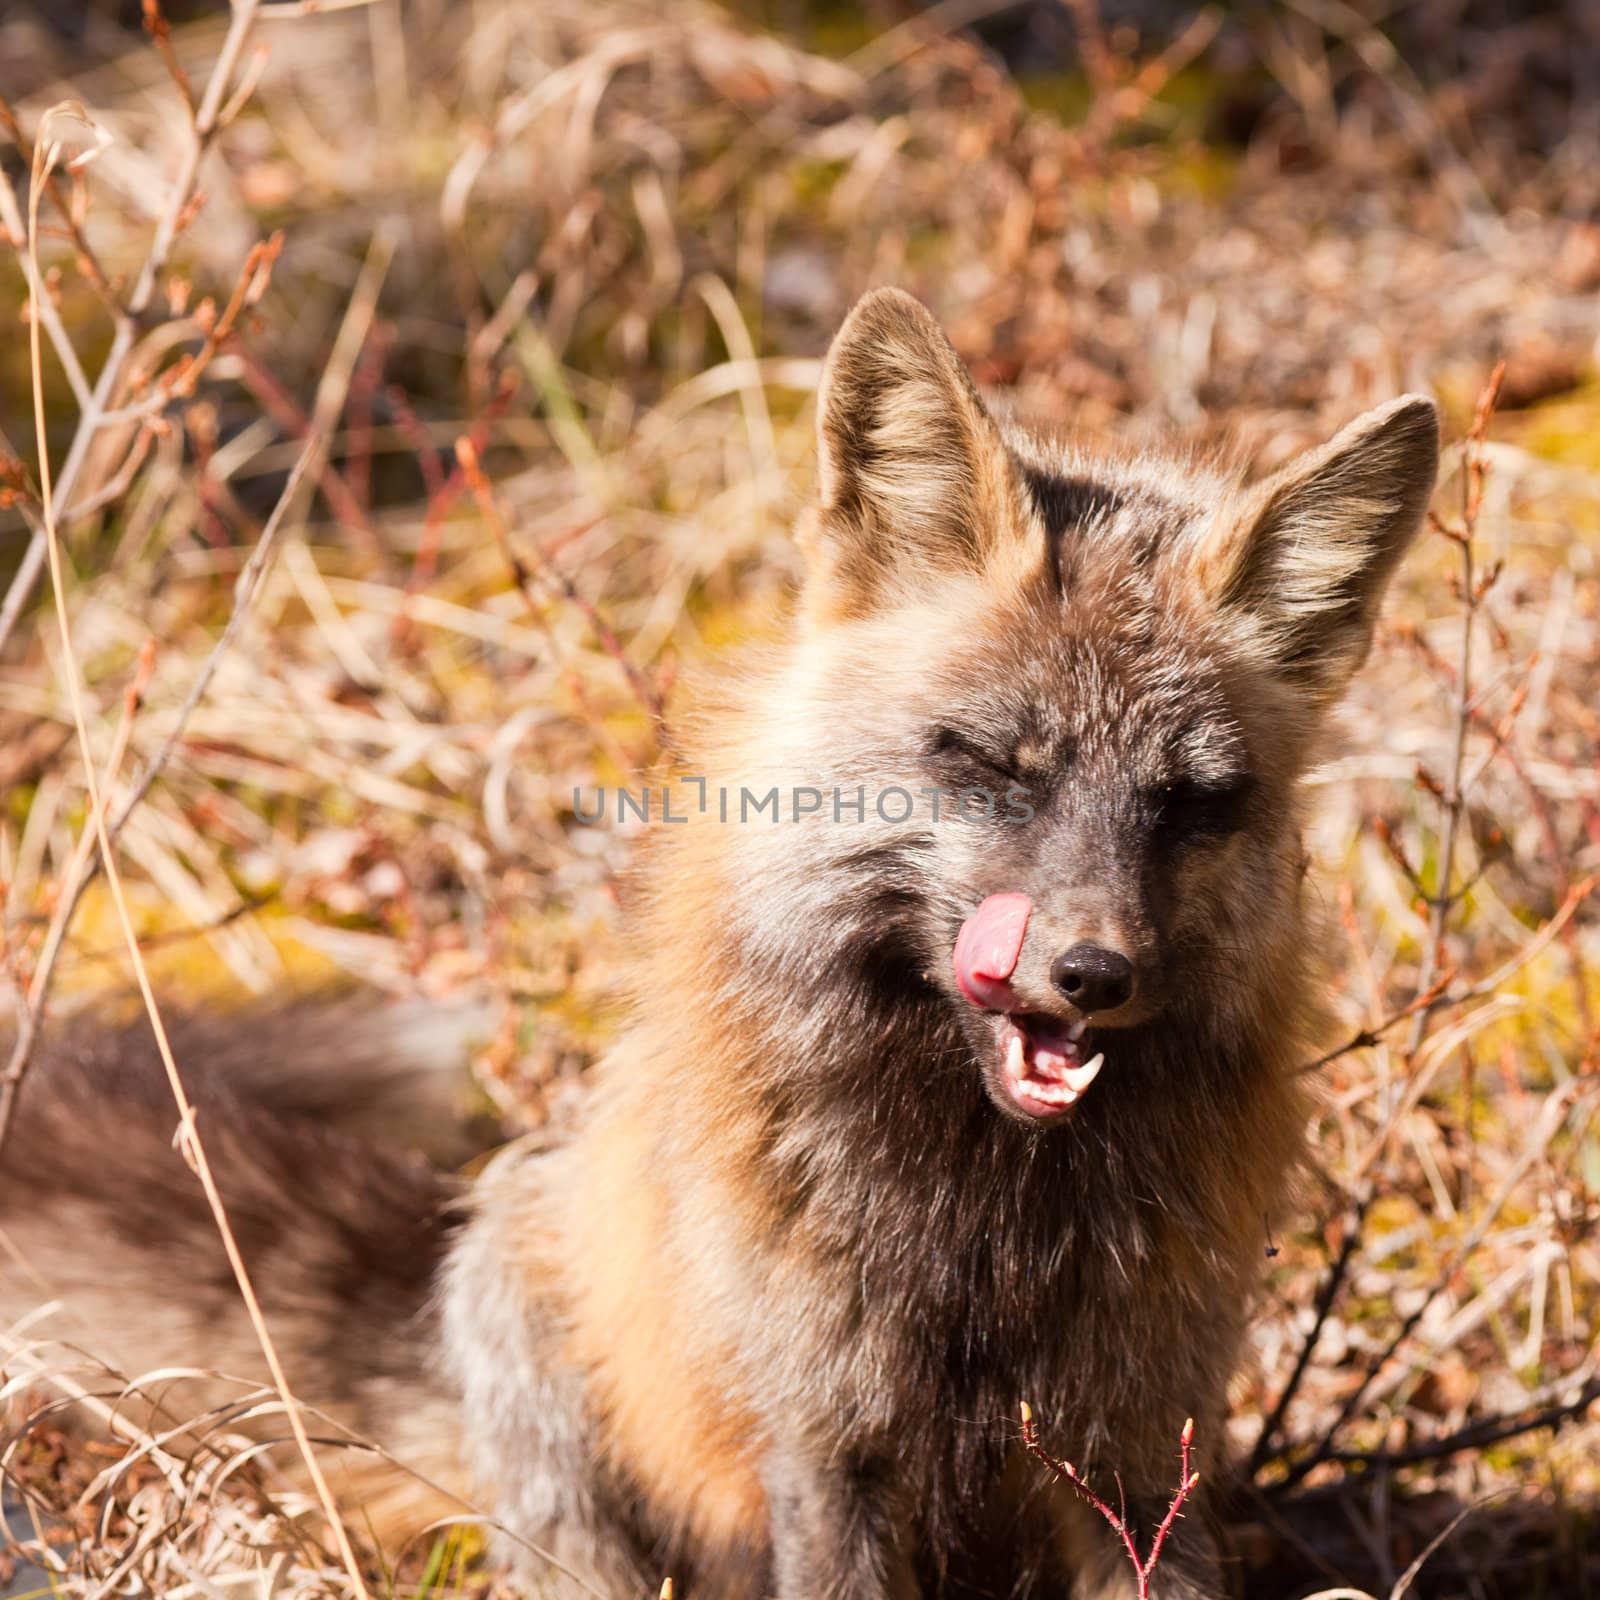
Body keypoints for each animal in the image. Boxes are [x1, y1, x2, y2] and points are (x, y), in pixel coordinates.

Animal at [0, 291, 1446, 1600]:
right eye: (991, 766)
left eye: (1194, 802)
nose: (1094, 976)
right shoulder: (823, 1444)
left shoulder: (1141, 1449)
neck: (981, 1235)